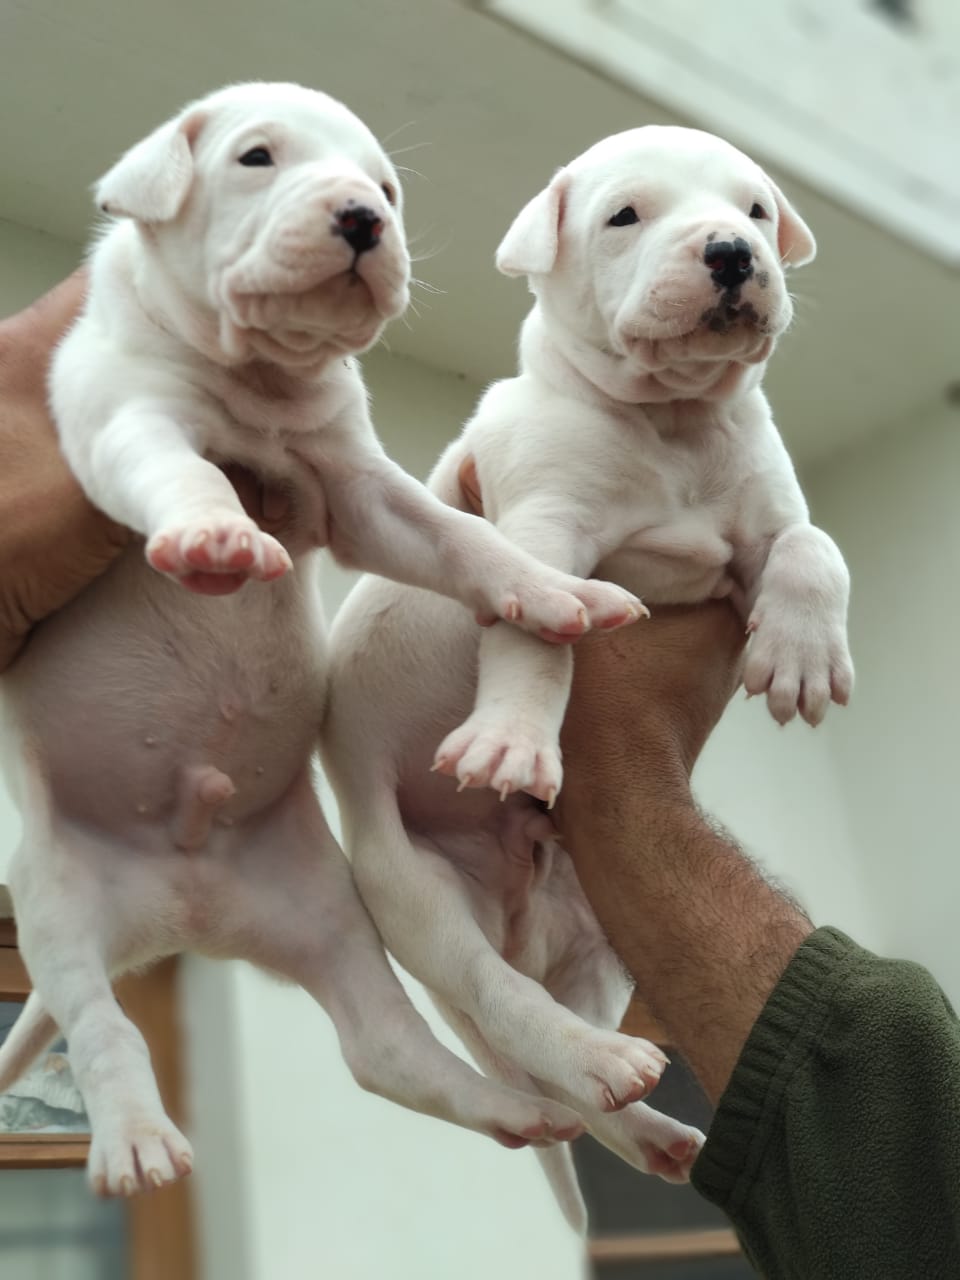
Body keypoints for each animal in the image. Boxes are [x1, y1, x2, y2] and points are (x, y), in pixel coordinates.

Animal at [1, 85, 655, 1192]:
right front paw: (214, 531)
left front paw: (552, 591)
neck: (261, 384)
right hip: (53, 901)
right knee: (101, 1025)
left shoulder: (360, 487)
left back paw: (519, 1103)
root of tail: (183, 906)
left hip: (329, 914)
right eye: (256, 157)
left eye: (386, 185)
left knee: (382, 1045)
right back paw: (135, 1139)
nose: (363, 218)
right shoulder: (120, 417)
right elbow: (182, 469)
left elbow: (462, 538)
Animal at [325, 122, 855, 1228]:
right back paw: (597, 1060)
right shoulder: (538, 529)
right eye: (624, 216)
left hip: (593, 927)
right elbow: (537, 635)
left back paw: (649, 1128)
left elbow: (812, 544)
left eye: (753, 209)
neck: (675, 426)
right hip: (416, 892)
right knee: (504, 1004)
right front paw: (513, 741)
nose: (733, 252)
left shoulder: (766, 510)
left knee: (574, 1077)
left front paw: (802, 654)